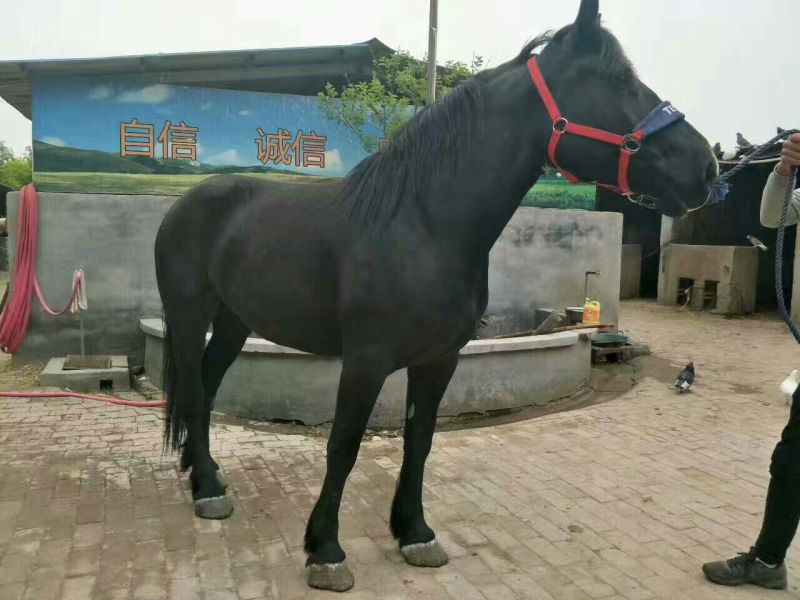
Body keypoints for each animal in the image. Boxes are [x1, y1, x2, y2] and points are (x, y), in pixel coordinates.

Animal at [154, 0, 717, 591]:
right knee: (193, 387)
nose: (706, 167)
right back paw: (207, 490)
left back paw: (206, 477)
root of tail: (188, 202)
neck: (422, 226)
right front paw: (326, 550)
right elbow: (343, 446)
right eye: (619, 80)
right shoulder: (365, 361)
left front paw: (414, 533)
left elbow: (419, 441)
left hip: (235, 321)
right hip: (190, 317)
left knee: (206, 388)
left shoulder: (440, 360)